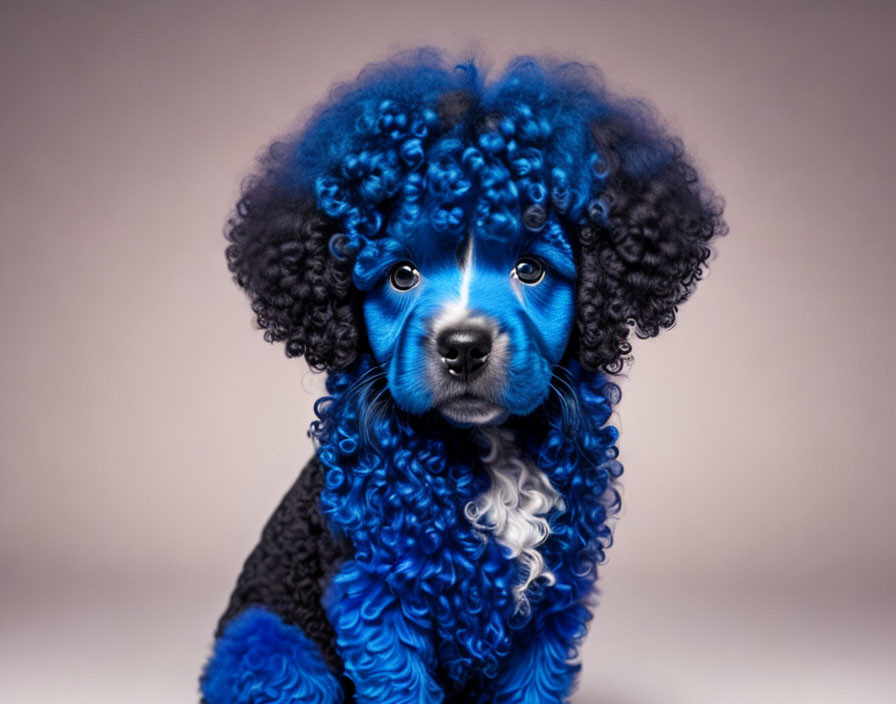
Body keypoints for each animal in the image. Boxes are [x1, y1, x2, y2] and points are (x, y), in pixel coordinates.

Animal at [200, 49, 724, 704]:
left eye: (530, 269)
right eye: (402, 275)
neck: (492, 450)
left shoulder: (554, 606)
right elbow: (402, 686)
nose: (465, 347)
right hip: (271, 645)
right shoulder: (375, 600)